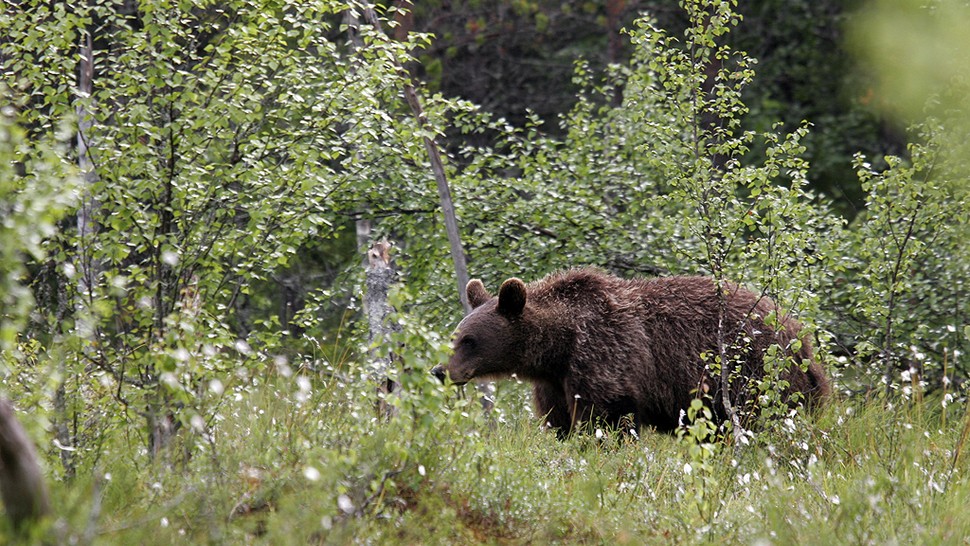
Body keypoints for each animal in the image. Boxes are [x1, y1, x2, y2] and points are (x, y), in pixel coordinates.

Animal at [432, 266, 832, 436]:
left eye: (469, 340)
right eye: (456, 336)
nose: (441, 371)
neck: (559, 347)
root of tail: (800, 334)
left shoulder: (606, 357)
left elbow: (605, 418)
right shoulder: (554, 383)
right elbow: (560, 422)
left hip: (754, 373)